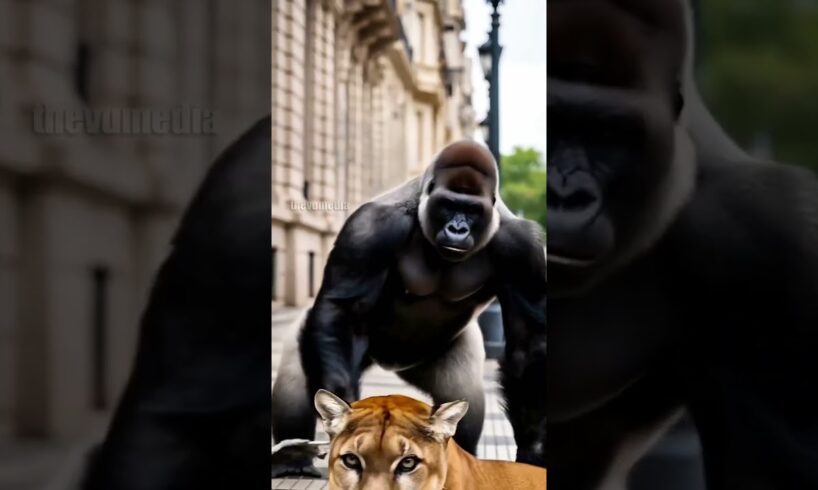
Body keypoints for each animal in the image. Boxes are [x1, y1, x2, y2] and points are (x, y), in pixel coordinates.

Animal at [271, 141, 546, 477]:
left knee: (463, 393)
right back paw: (293, 459)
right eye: (448, 205)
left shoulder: (523, 247)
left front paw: (533, 447)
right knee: (298, 370)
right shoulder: (370, 227)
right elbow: (342, 310)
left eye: (471, 210)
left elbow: (528, 342)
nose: (457, 228)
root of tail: (389, 366)